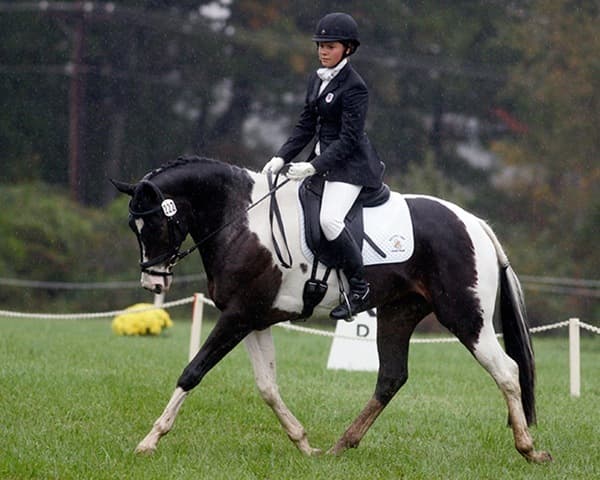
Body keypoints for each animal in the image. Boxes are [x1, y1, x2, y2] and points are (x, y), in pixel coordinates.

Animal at [112, 155, 552, 463]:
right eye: (134, 227)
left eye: (154, 224)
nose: (153, 284)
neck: (243, 221)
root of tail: (475, 224)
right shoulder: (254, 319)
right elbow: (267, 387)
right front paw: (305, 445)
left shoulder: (237, 316)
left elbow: (192, 372)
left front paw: (150, 440)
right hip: (398, 313)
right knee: (391, 377)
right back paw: (341, 446)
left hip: (465, 316)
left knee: (507, 371)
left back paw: (528, 449)